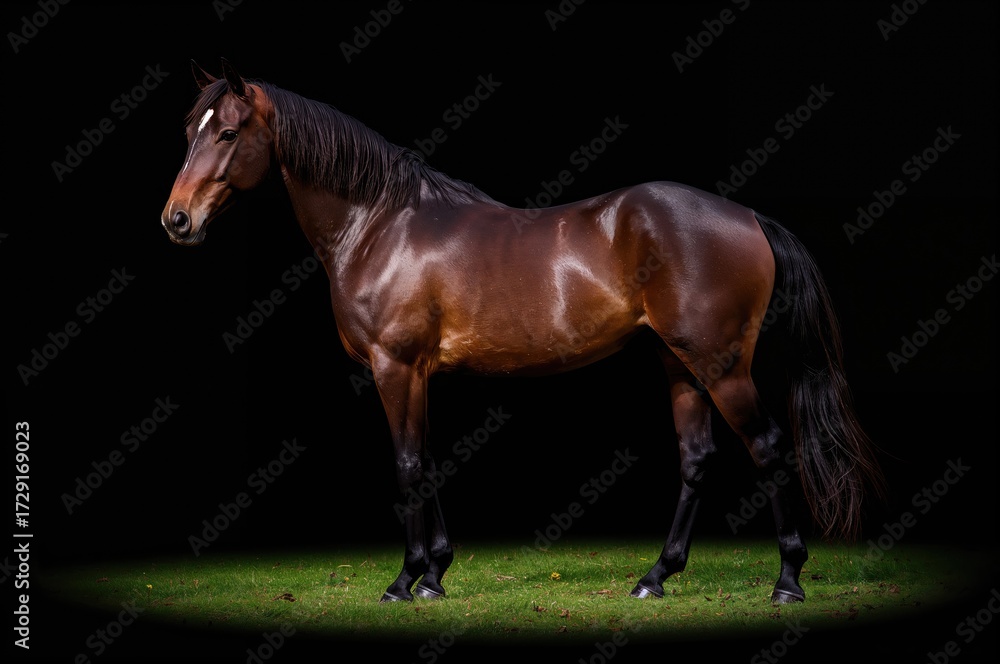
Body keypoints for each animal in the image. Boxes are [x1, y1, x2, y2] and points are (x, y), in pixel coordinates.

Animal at [161, 60, 884, 605]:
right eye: (190, 131)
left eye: (228, 134)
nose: (176, 220)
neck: (381, 225)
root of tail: (749, 216)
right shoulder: (418, 374)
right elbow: (428, 459)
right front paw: (436, 573)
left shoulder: (395, 366)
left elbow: (406, 463)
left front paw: (405, 580)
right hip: (678, 363)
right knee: (698, 457)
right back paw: (655, 577)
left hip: (721, 365)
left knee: (768, 447)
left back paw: (787, 580)